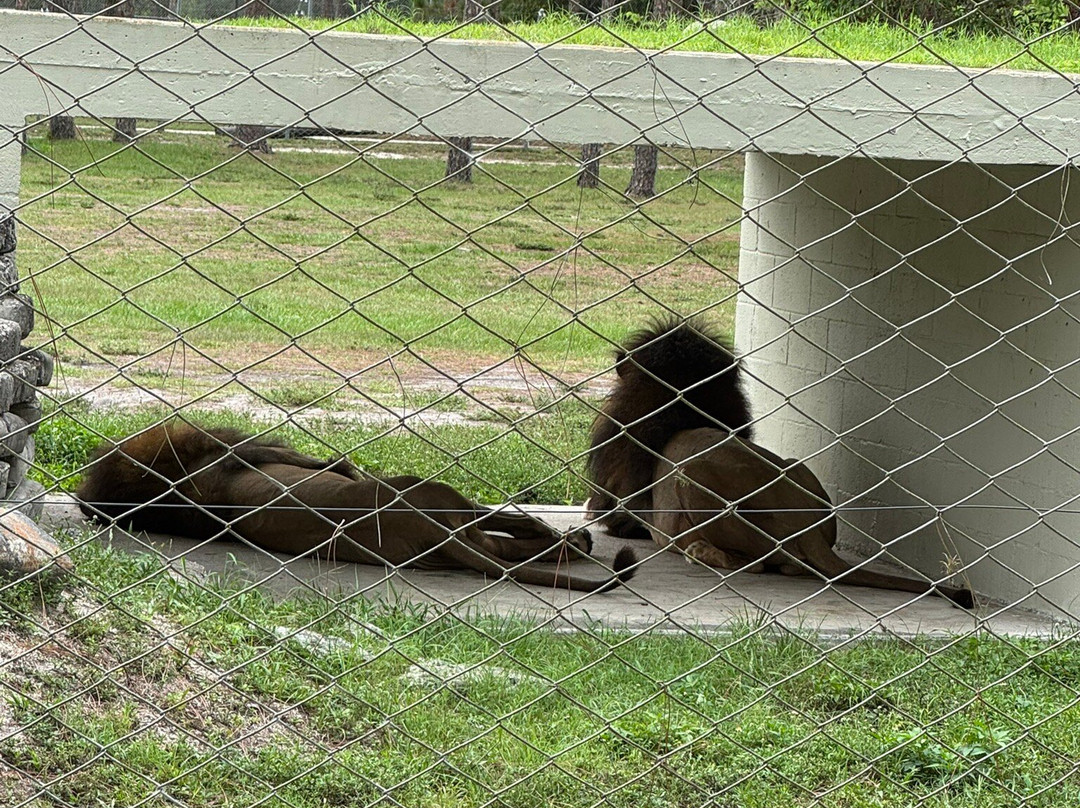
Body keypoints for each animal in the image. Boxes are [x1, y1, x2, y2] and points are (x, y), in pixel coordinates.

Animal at [77, 421, 636, 593]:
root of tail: (432, 534)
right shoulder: (257, 454)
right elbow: (337, 463)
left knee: (505, 547)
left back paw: (572, 541)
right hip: (426, 491)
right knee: (504, 530)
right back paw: (573, 540)